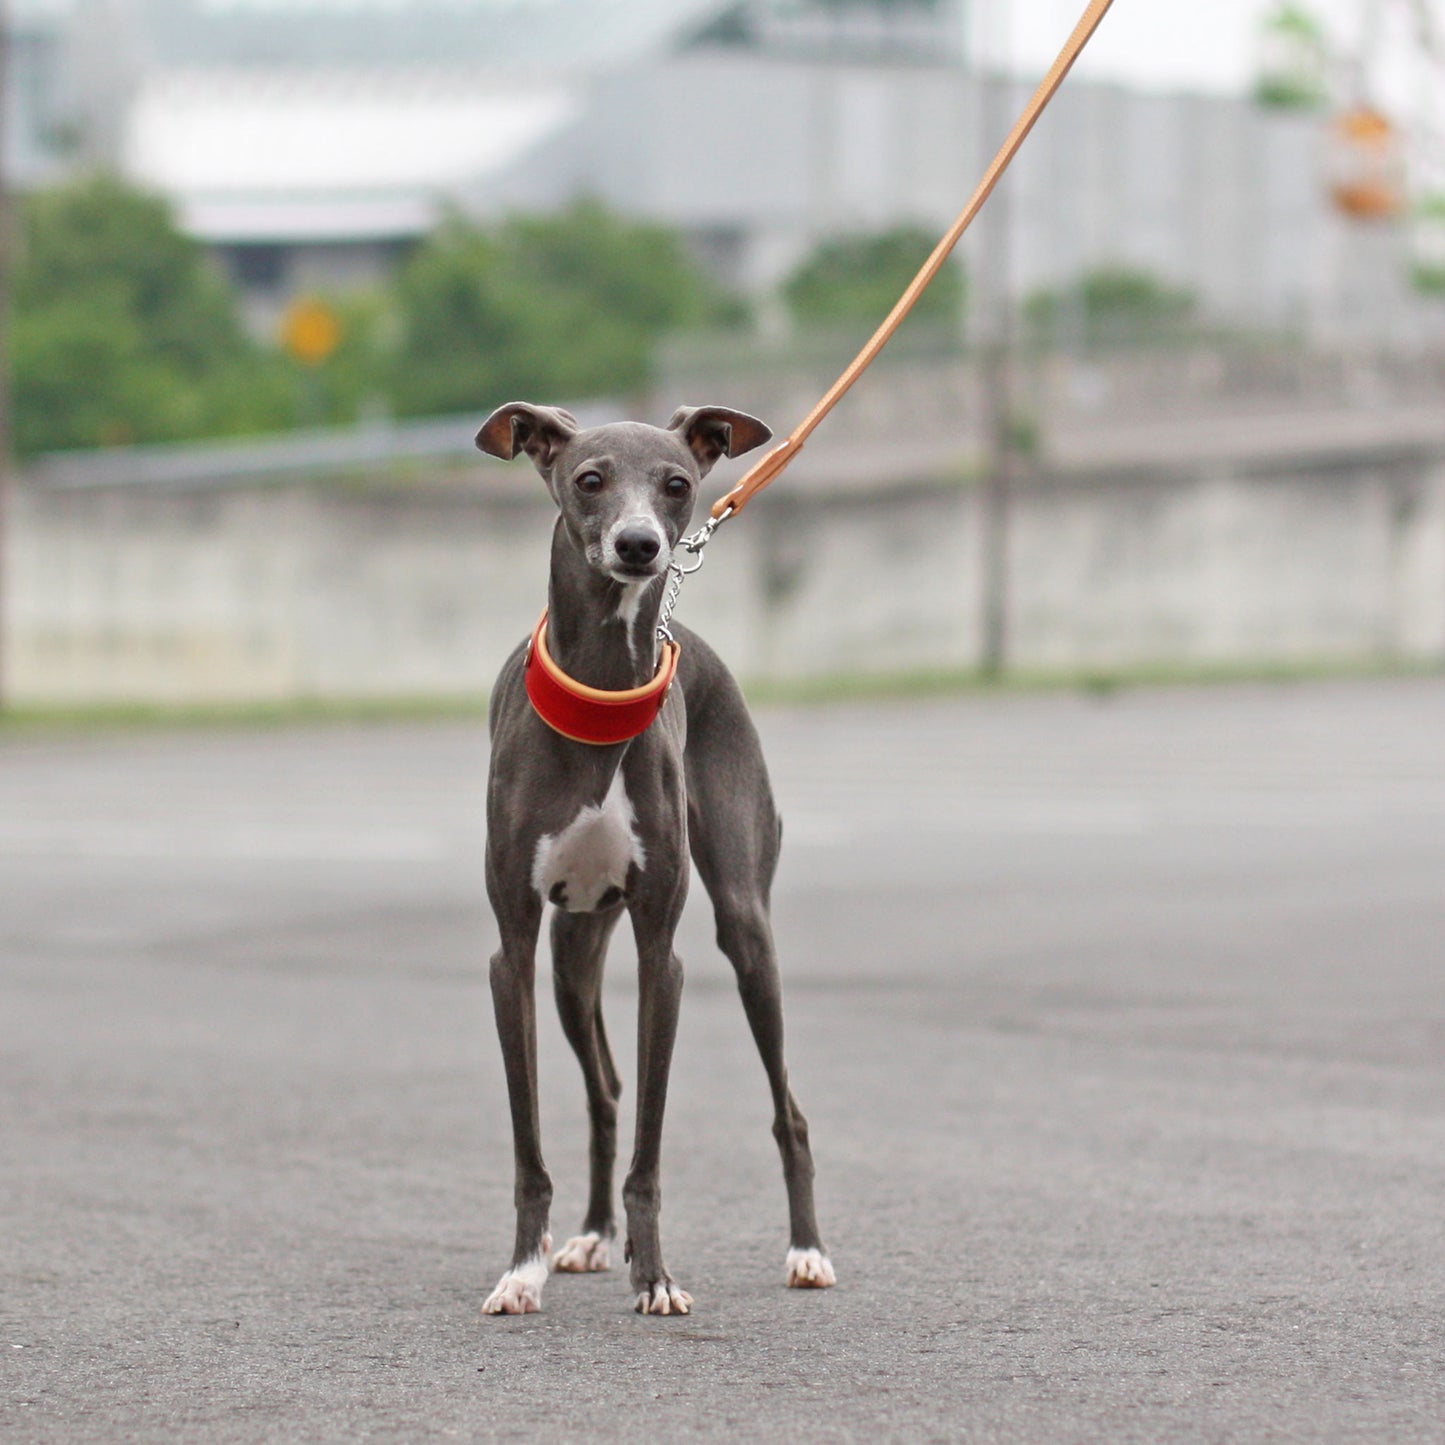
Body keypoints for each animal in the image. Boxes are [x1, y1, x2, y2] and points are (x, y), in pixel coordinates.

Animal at [473, 401, 838, 1317]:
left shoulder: (657, 951)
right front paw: (521, 1268)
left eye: (676, 483)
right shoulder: (514, 948)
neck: (600, 694)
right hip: (572, 958)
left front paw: (657, 1276)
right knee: (604, 1093)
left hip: (744, 928)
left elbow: (653, 1143)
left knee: (787, 1107)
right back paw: (592, 1235)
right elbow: (533, 1140)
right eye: (589, 478)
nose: (639, 545)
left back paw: (807, 1249)